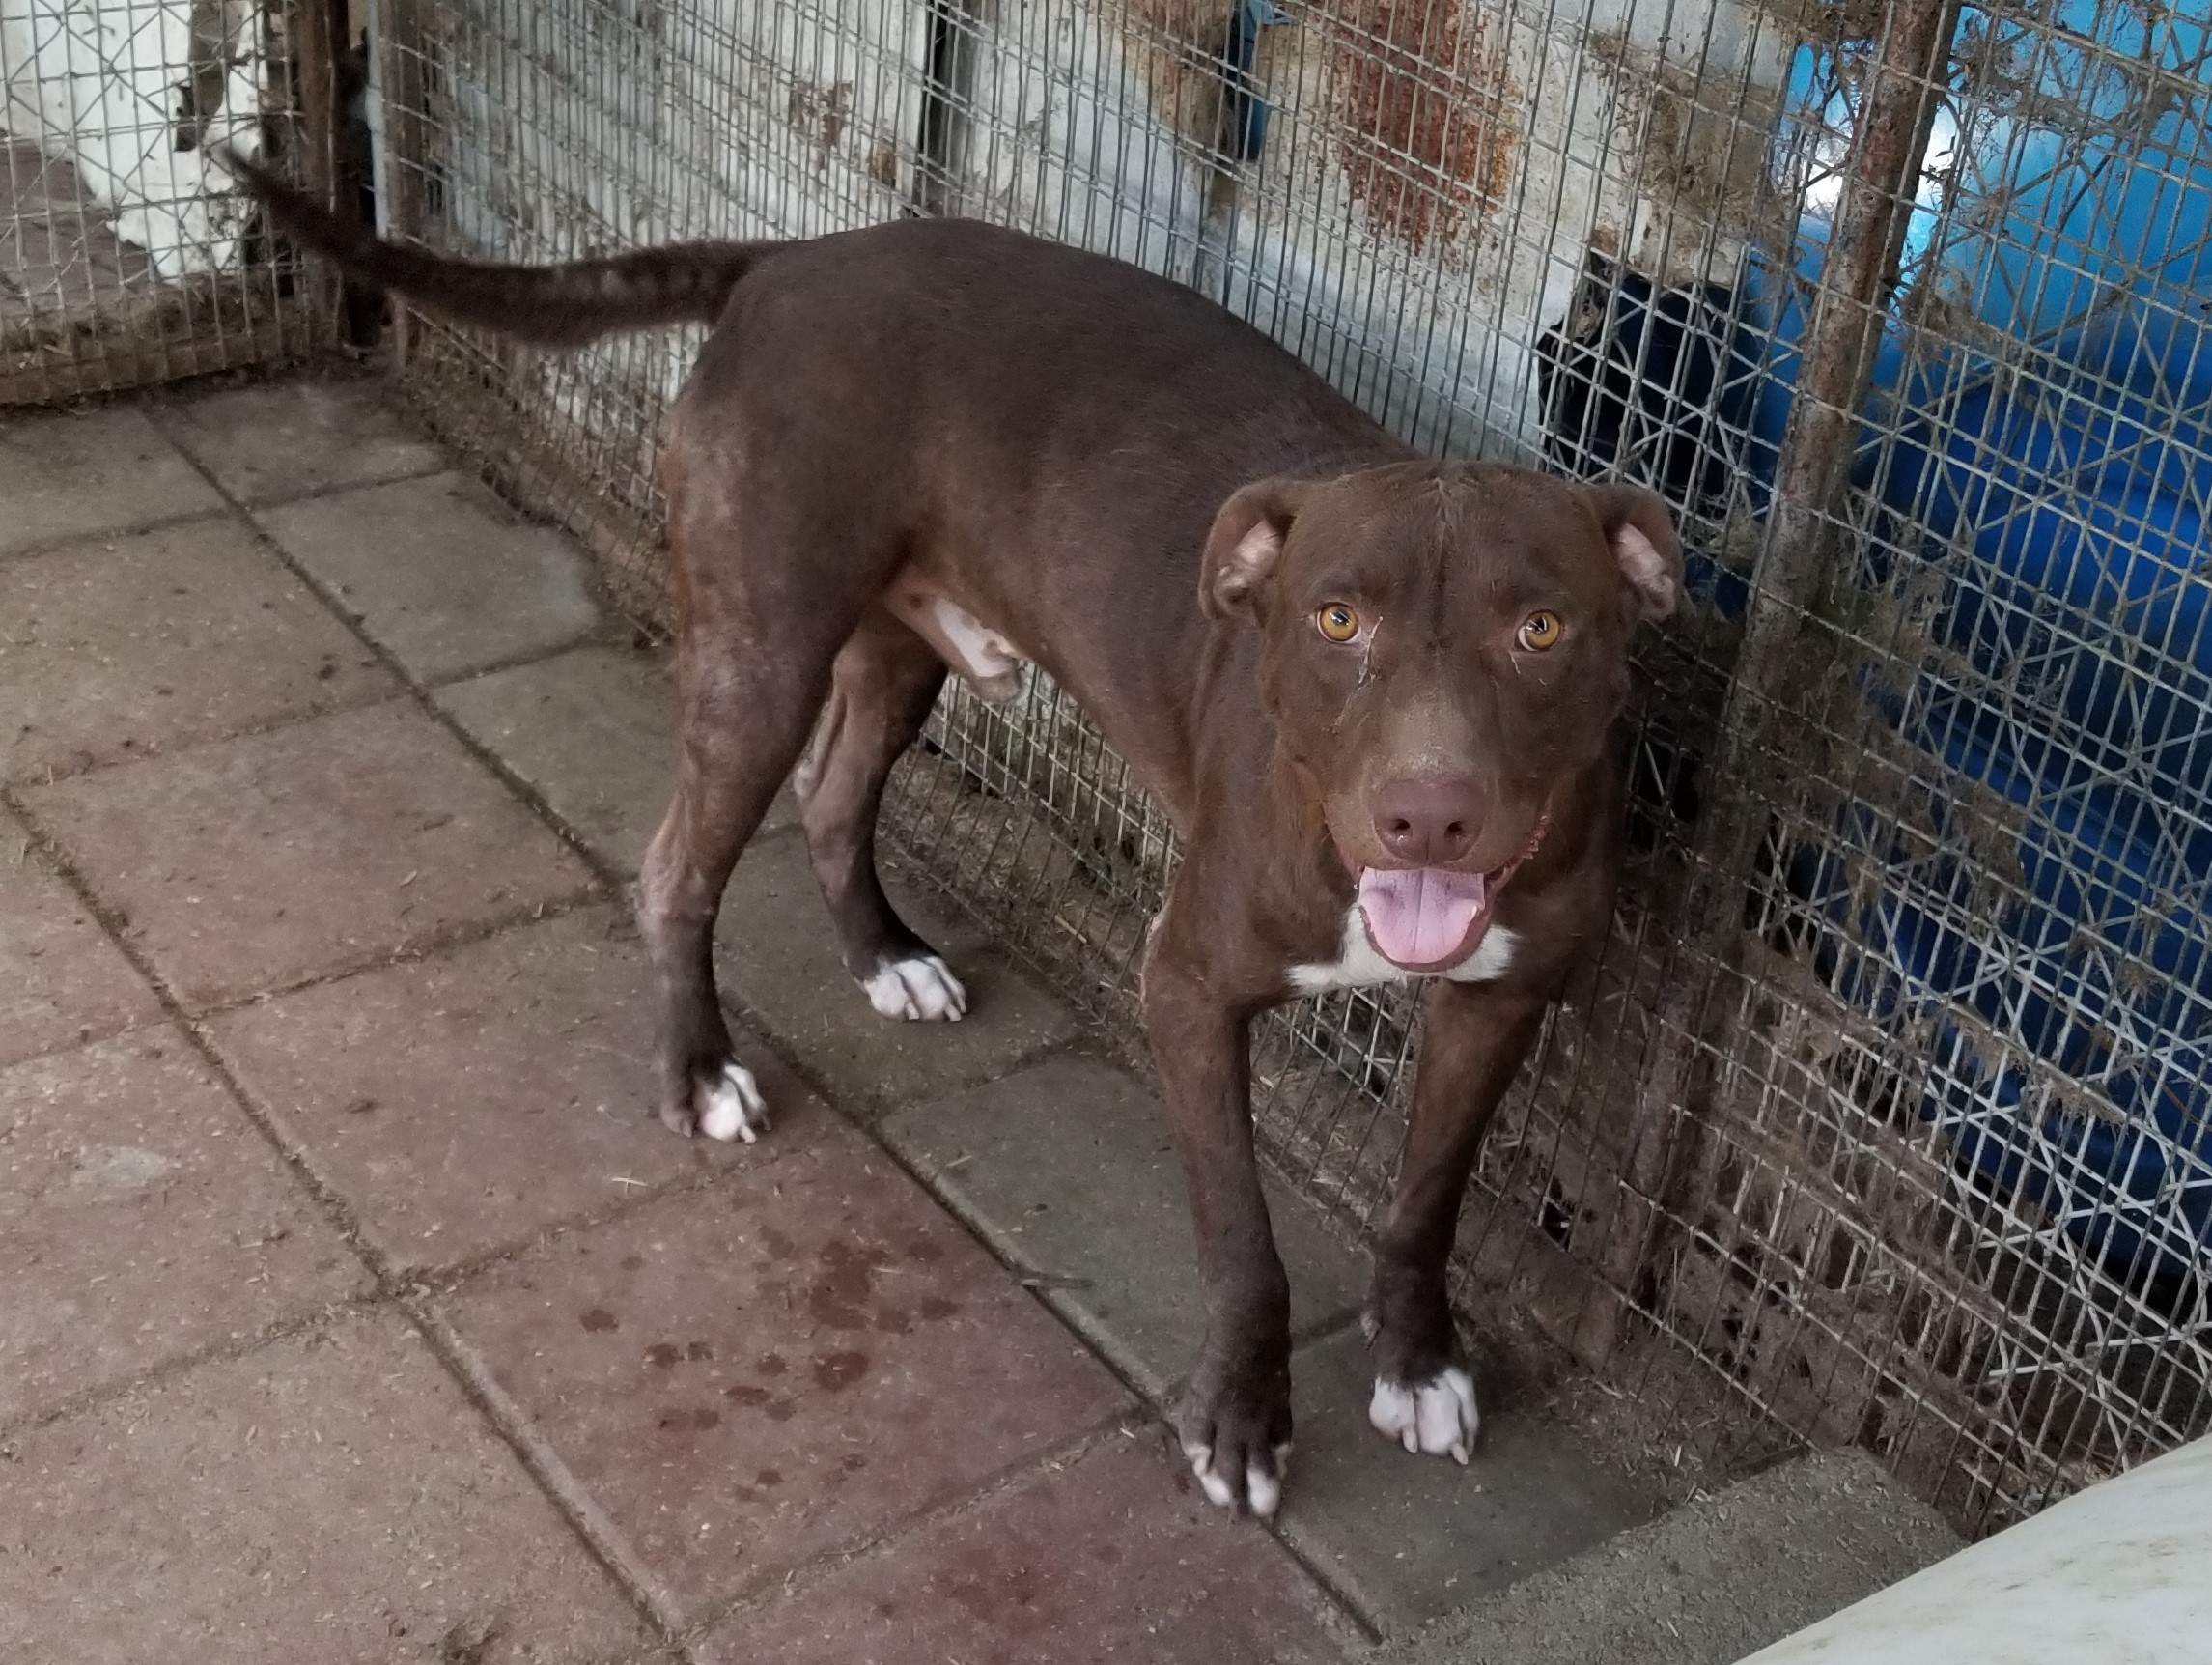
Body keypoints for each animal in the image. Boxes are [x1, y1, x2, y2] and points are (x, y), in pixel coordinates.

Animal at [229, 158, 1671, 1521]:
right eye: (1333, 619)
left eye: (1540, 626)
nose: (1428, 810)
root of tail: (787, 261)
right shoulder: (1186, 988)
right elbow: (1242, 1238)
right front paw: (1240, 1423)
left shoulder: (1500, 1003)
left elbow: (1426, 1199)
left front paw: (1416, 1363)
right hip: (763, 648)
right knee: (678, 864)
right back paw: (698, 1068)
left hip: (891, 641)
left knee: (831, 800)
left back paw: (884, 959)